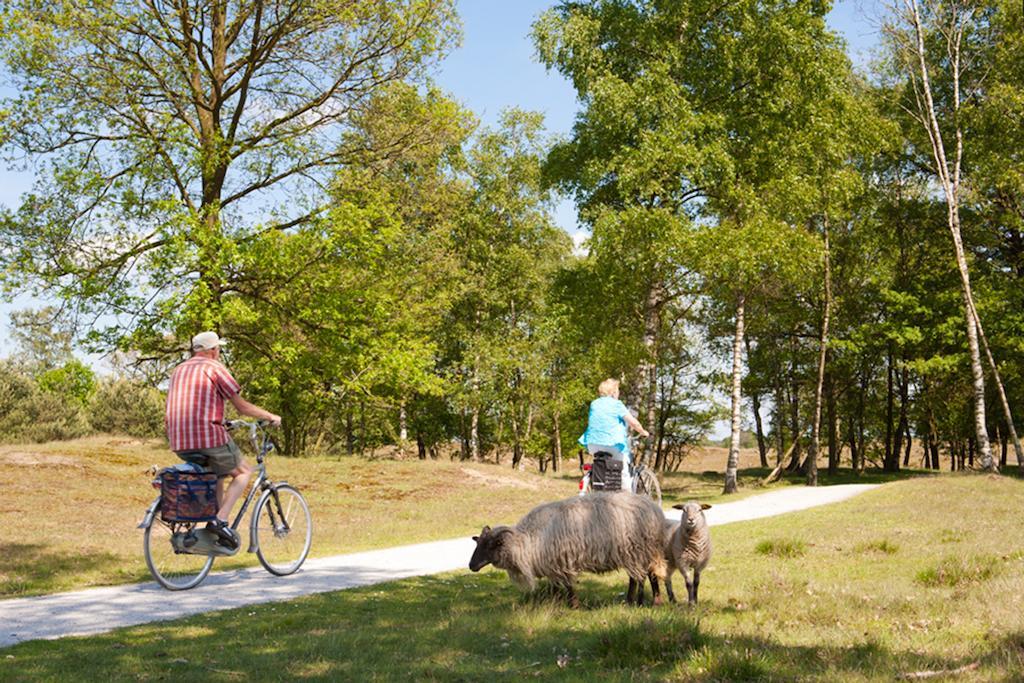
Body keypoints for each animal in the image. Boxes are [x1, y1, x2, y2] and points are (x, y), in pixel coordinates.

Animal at [468, 491, 667, 610]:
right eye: (478, 544)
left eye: (490, 545)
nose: (471, 566)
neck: (528, 542)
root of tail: (654, 508)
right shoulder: (554, 566)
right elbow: (556, 587)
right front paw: (554, 604)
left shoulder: (563, 562)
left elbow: (569, 586)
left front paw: (574, 606)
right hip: (641, 552)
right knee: (647, 575)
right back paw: (646, 601)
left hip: (636, 550)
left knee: (641, 576)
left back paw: (638, 602)